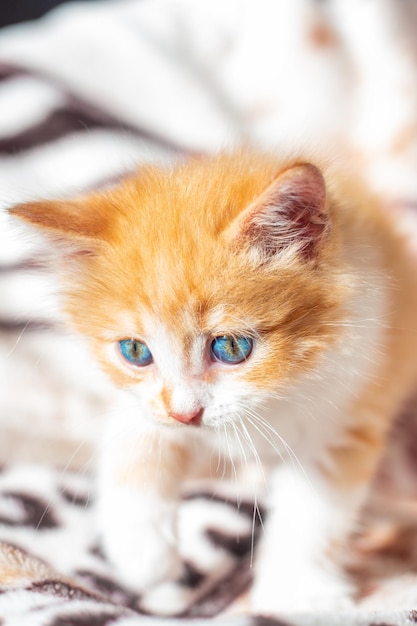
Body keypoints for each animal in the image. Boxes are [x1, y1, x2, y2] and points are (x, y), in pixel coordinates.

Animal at [7, 152, 417, 616]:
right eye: (135, 351)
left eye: (231, 347)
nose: (186, 414)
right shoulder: (146, 405)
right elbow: (135, 439)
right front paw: (144, 555)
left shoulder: (350, 407)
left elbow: (313, 510)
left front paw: (297, 591)